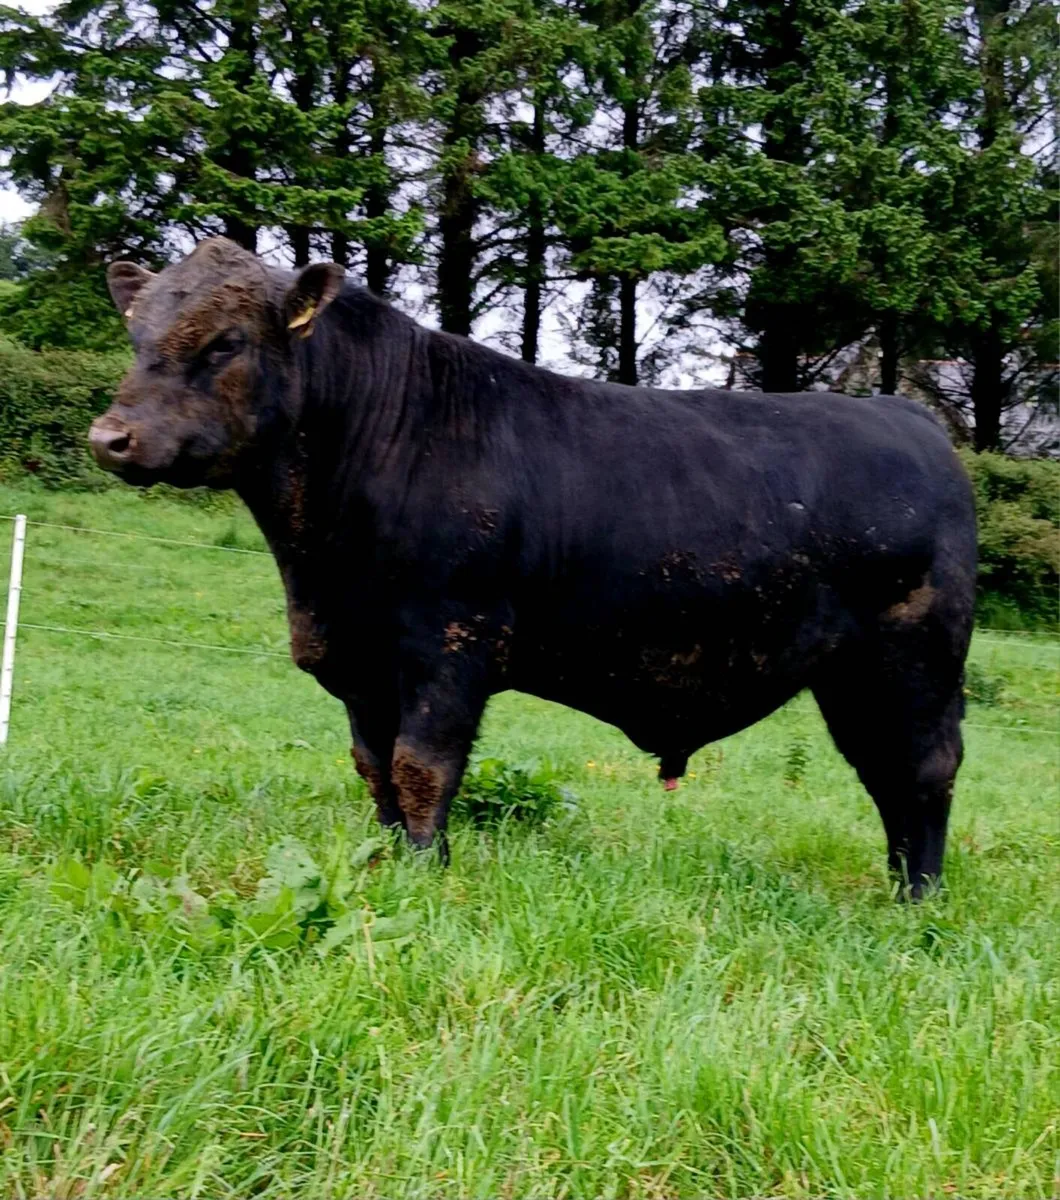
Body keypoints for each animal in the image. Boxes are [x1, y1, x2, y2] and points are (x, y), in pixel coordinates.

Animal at [89, 237, 976, 897]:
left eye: (226, 342)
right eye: (135, 338)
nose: (111, 437)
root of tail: (907, 416)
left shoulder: (450, 645)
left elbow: (421, 769)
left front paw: (426, 874)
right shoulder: (360, 662)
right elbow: (375, 770)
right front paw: (385, 864)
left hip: (916, 659)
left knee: (924, 771)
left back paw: (920, 898)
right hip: (852, 676)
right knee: (884, 773)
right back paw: (896, 883)